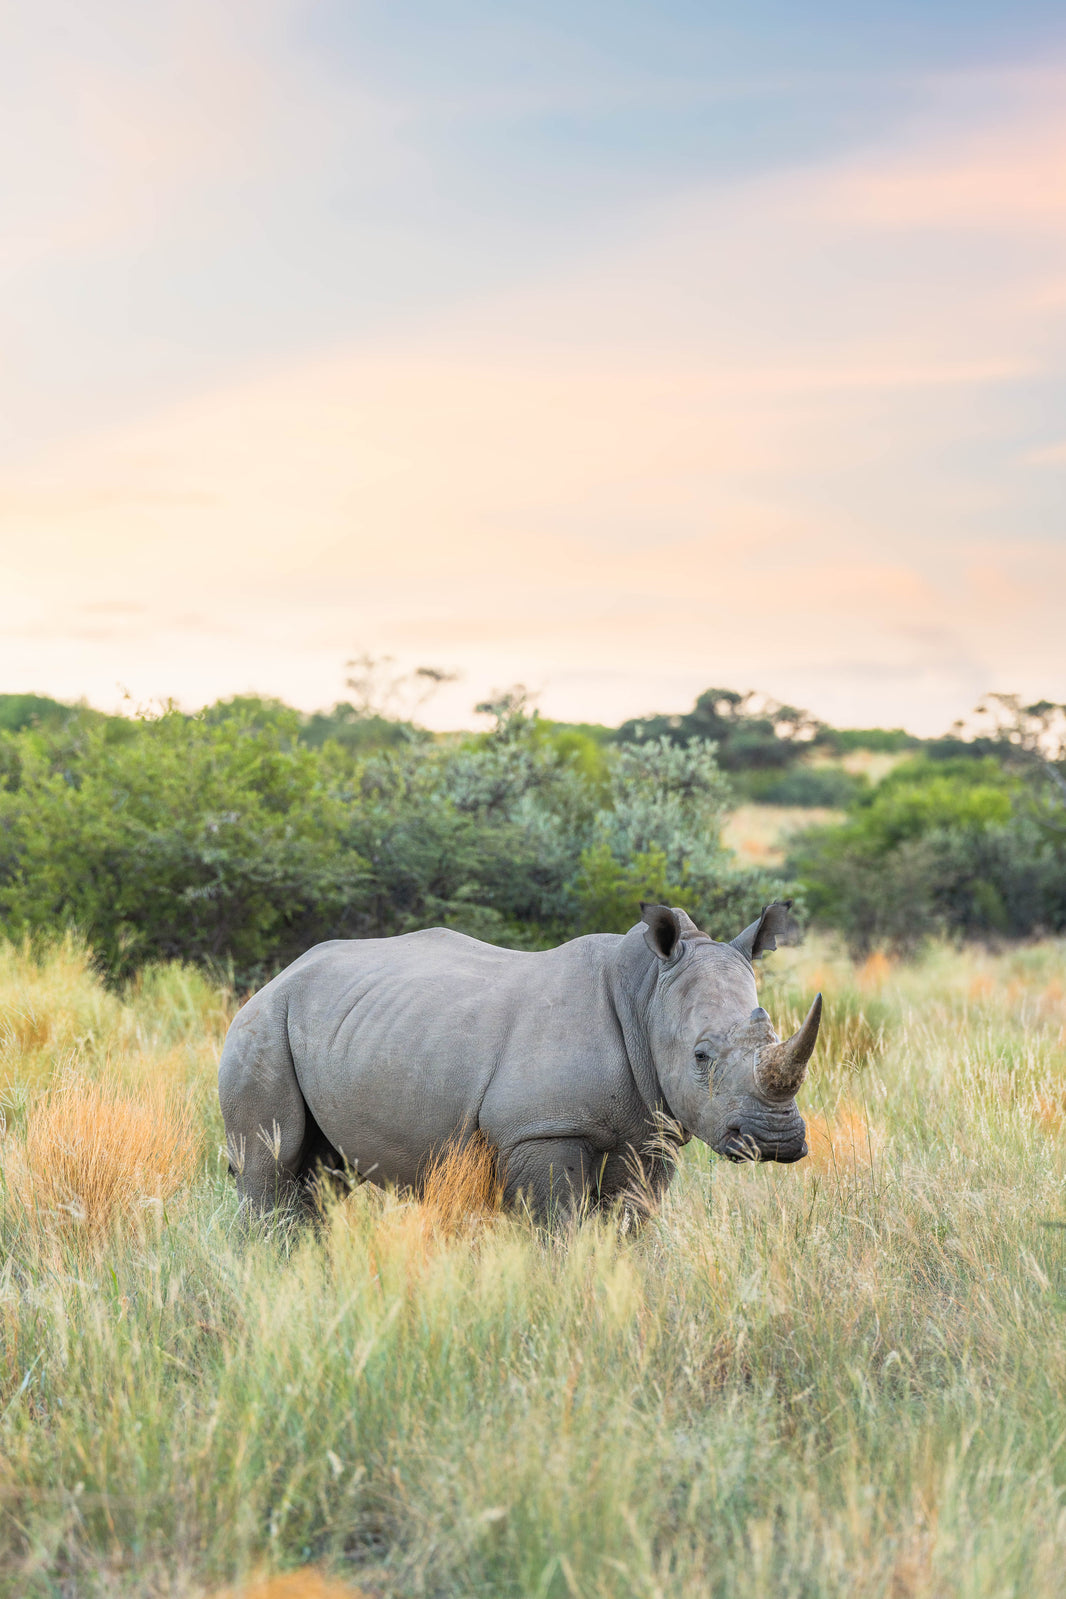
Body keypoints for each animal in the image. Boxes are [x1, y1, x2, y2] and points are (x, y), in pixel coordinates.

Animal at [218, 901, 821, 1220]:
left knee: (323, 1173)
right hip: (261, 1026)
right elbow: (559, 1228)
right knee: (270, 1162)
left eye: (771, 1032)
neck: (648, 992)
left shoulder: (652, 1131)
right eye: (701, 1056)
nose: (776, 1141)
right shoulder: (542, 1129)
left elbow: (631, 1222)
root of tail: (277, 977)